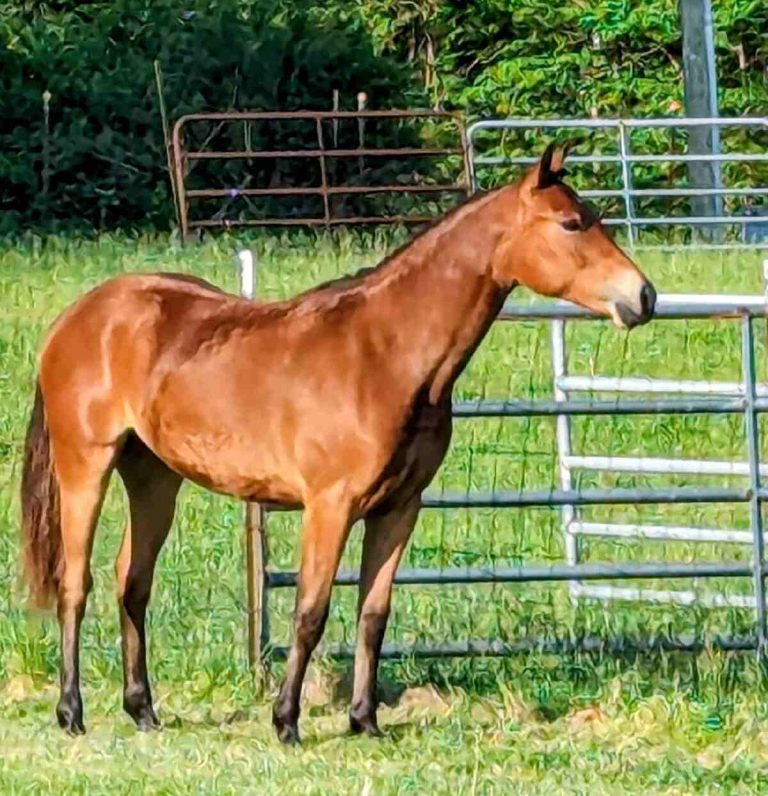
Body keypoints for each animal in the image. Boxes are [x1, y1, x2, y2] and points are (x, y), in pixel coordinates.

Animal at [19, 145, 656, 748]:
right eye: (571, 223)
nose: (644, 297)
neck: (384, 354)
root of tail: (79, 316)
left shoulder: (399, 509)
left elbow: (373, 614)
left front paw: (364, 720)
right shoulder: (330, 506)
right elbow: (310, 611)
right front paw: (286, 721)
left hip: (154, 476)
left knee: (133, 580)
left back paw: (143, 710)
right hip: (86, 465)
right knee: (76, 584)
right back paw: (71, 711)